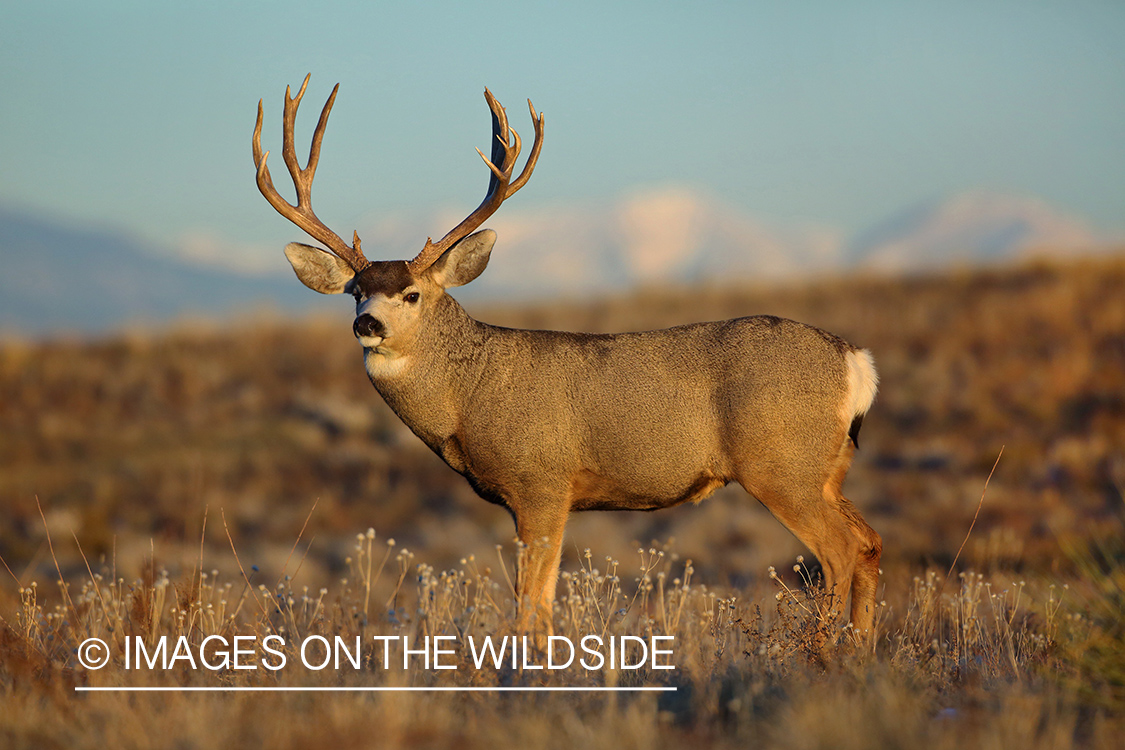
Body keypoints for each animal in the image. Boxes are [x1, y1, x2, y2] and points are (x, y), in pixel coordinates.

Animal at [250, 77, 882, 652]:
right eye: (356, 291)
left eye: (411, 294)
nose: (367, 326)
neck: (469, 393)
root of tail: (856, 362)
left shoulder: (543, 483)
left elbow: (533, 605)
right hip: (827, 469)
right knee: (871, 543)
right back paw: (860, 651)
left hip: (782, 464)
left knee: (841, 550)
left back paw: (821, 652)